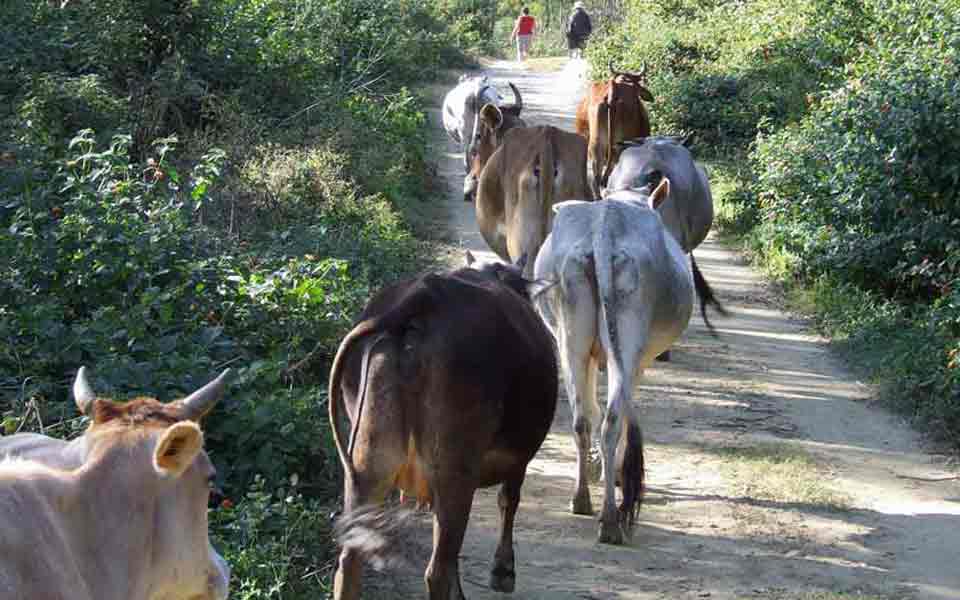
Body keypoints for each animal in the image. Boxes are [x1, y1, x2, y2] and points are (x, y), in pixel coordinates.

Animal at [330, 258, 560, 600]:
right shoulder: (519, 459)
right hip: (455, 472)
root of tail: (426, 295)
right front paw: (503, 571)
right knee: (436, 570)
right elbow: (509, 501)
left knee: (350, 560)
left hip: (367, 464)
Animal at [528, 177, 724, 544]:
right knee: (614, 419)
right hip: (629, 342)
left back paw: (581, 498)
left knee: (581, 419)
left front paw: (595, 468)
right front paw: (614, 473)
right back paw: (609, 519)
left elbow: (591, 406)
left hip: (569, 339)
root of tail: (605, 228)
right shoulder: (640, 360)